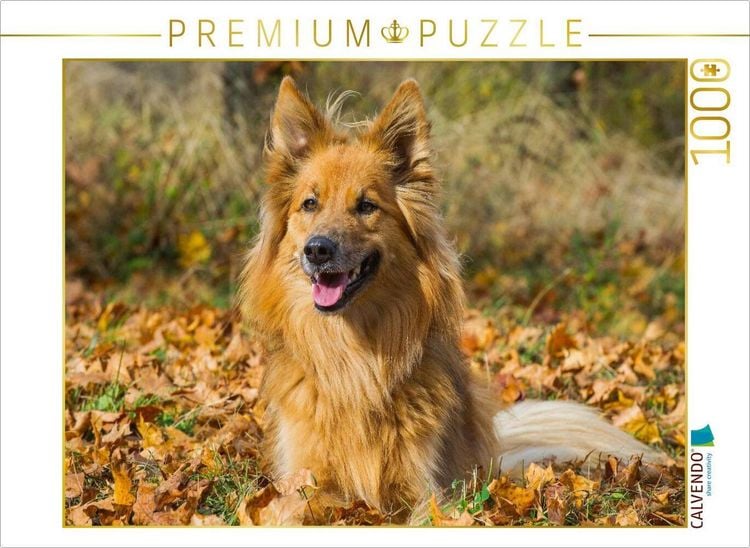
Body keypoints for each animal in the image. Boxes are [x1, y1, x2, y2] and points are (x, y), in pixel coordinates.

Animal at [240, 76, 663, 520]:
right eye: (310, 203)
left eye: (366, 206)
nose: (318, 250)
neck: (354, 359)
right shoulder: (305, 482)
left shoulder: (424, 490)